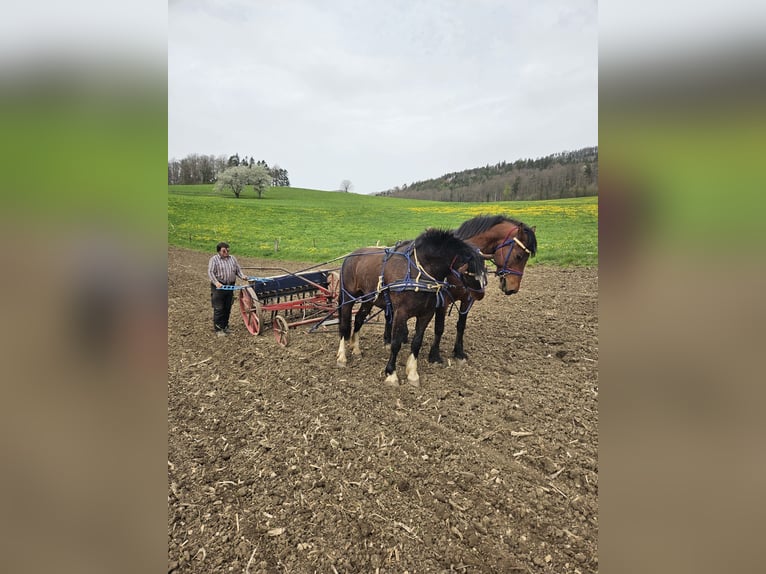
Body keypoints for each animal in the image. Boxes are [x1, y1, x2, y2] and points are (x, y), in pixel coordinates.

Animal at [336, 230, 486, 388]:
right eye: (469, 271)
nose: (480, 294)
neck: (419, 272)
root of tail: (350, 256)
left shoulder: (426, 314)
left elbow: (417, 342)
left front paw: (413, 374)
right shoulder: (401, 313)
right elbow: (396, 343)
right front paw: (391, 374)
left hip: (369, 299)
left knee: (358, 319)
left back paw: (356, 348)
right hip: (347, 298)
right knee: (344, 325)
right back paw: (342, 357)